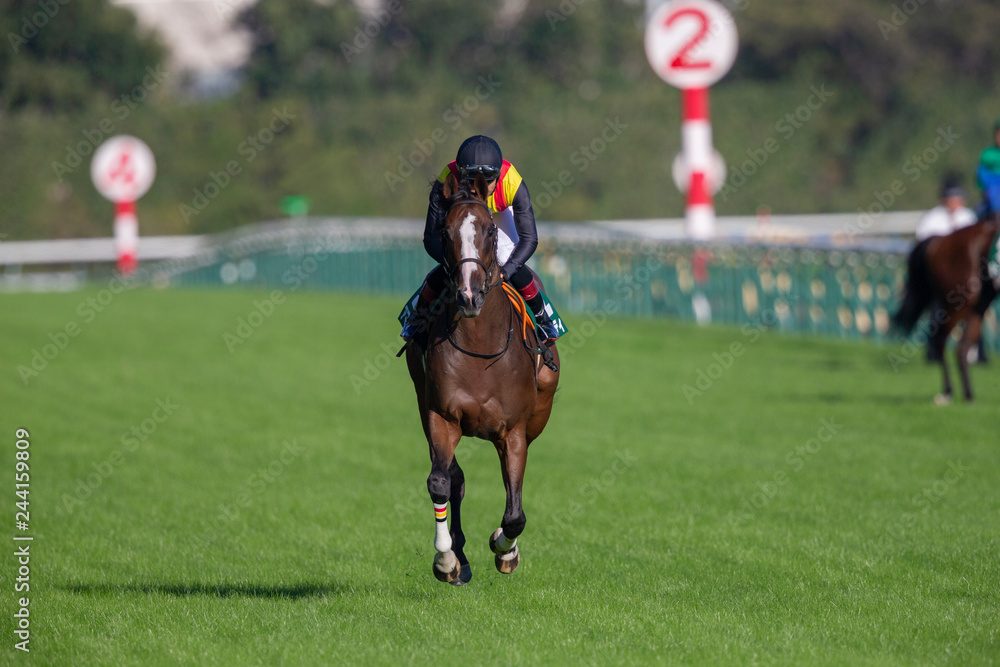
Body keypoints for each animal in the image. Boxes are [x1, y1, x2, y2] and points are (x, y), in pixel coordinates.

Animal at [404, 172, 560, 584]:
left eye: (489, 230)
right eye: (445, 231)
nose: (469, 295)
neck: (479, 342)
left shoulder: (515, 431)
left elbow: (515, 512)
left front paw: (505, 550)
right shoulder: (441, 416)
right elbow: (441, 481)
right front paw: (446, 559)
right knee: (454, 479)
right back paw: (459, 556)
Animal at [893, 214, 1000, 403]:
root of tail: (939, 240)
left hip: (978, 305)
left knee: (961, 347)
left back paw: (966, 393)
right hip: (959, 303)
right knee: (941, 340)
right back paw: (949, 392)